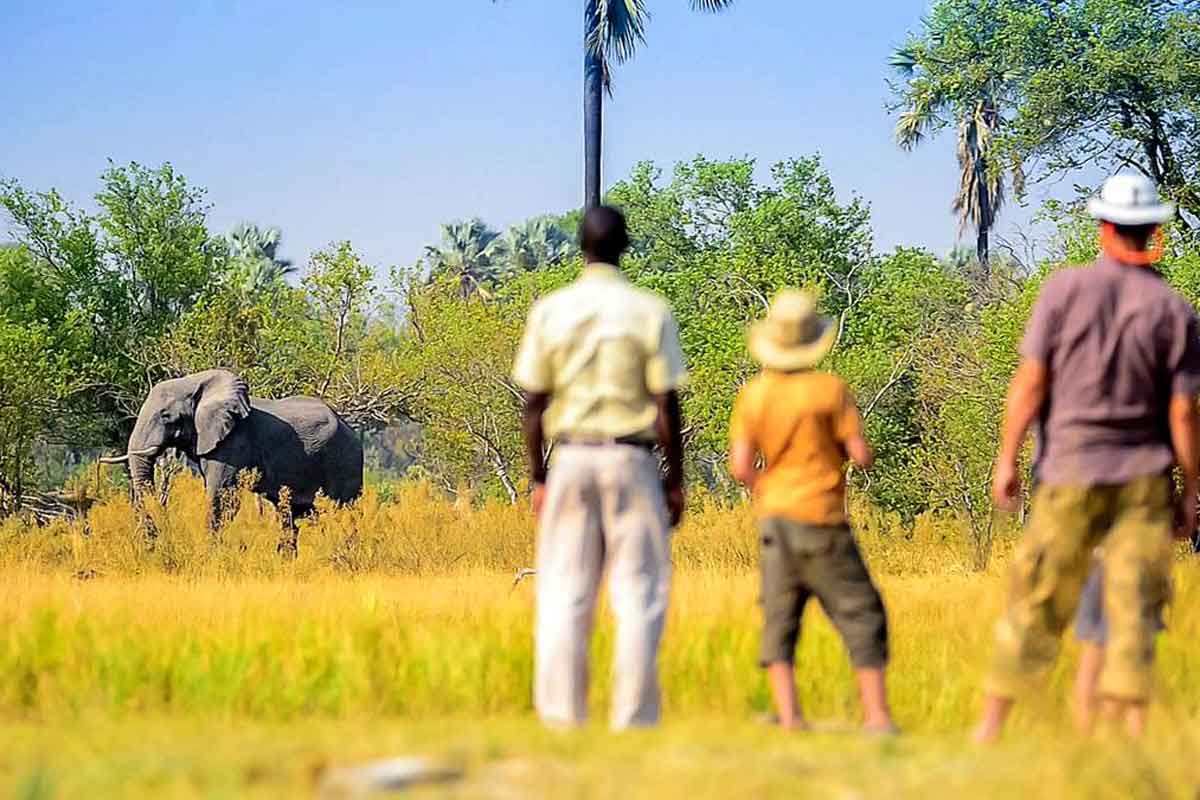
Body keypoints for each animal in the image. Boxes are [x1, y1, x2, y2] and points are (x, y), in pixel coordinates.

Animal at [102, 369, 360, 551]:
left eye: (166, 415)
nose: (153, 543)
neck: (195, 382)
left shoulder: (234, 442)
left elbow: (222, 496)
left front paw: (209, 555)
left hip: (344, 460)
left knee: (342, 513)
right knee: (291, 516)